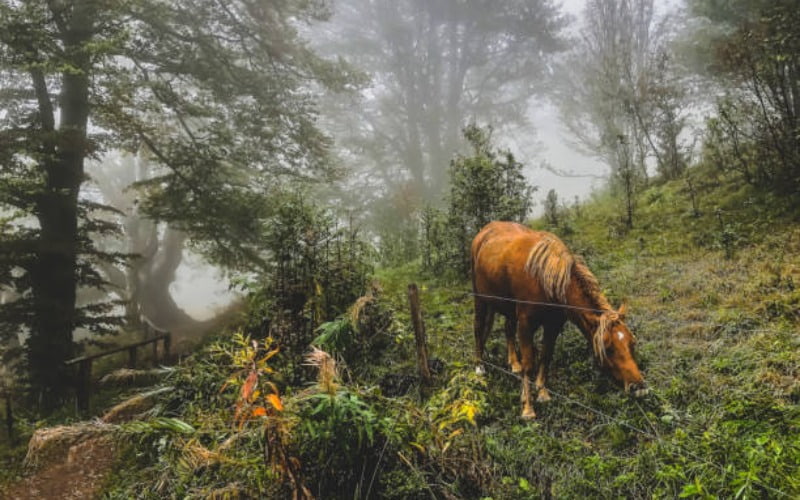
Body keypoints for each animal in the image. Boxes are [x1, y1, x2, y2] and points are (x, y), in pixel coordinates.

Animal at [472, 222, 648, 418]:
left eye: (632, 343)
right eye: (608, 349)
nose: (639, 388)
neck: (545, 279)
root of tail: (485, 230)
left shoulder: (553, 325)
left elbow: (545, 357)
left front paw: (542, 392)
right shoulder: (526, 324)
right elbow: (529, 363)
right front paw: (528, 408)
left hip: (508, 307)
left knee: (508, 328)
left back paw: (514, 363)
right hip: (480, 299)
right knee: (478, 329)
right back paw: (480, 367)